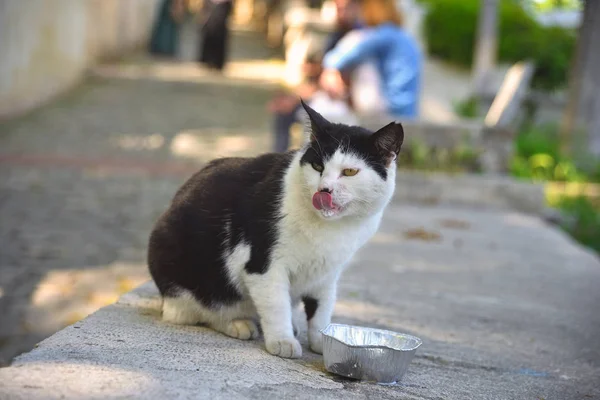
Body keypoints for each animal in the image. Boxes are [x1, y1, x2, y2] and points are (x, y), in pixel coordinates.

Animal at [148, 101, 406, 358]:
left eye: (350, 172)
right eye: (318, 166)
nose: (324, 190)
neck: (332, 228)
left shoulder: (328, 272)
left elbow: (322, 308)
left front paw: (322, 341)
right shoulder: (262, 263)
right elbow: (276, 304)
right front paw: (283, 341)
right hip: (177, 258)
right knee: (197, 309)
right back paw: (237, 323)